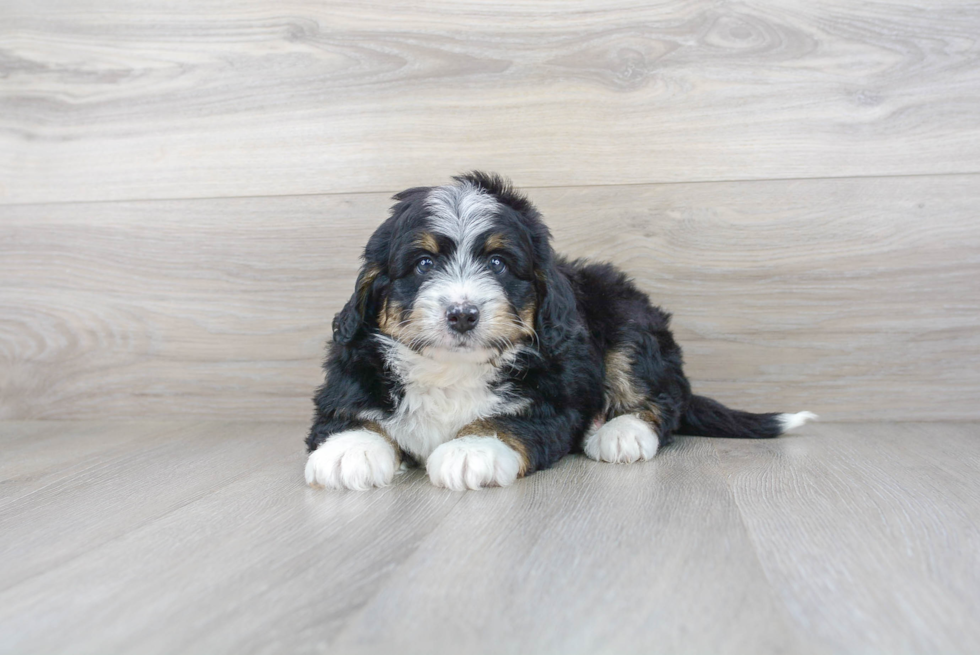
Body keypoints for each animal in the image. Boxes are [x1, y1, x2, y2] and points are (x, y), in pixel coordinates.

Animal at [304, 174, 812, 492]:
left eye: (498, 263)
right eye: (424, 264)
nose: (463, 314)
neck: (452, 370)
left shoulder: (555, 397)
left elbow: (511, 419)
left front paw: (471, 449)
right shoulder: (349, 373)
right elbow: (348, 414)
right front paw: (349, 450)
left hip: (630, 322)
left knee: (661, 398)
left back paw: (621, 432)